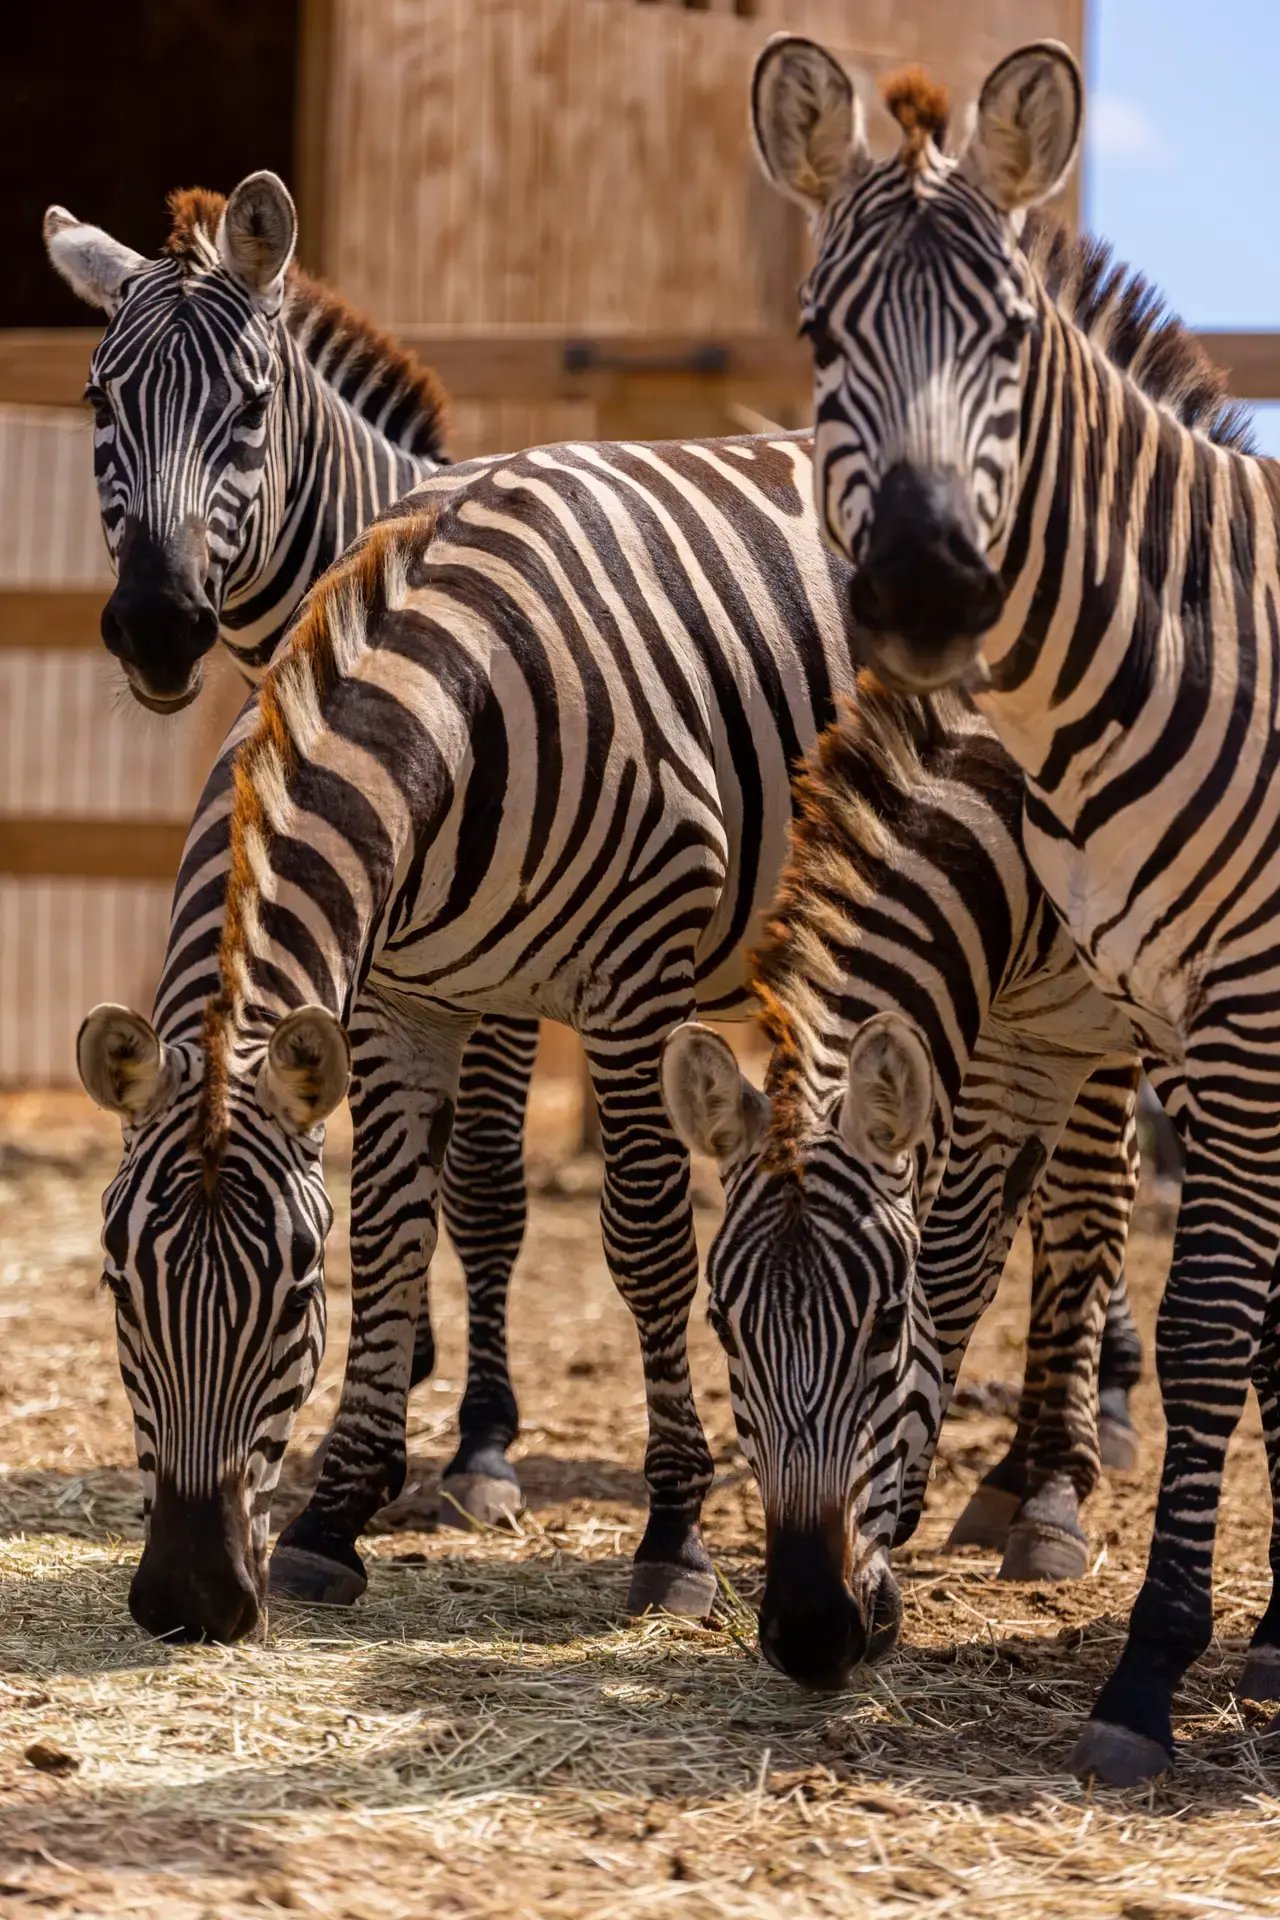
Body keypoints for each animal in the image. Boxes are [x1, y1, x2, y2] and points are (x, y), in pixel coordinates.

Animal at [45, 171, 537, 1526]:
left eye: (253, 407)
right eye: (98, 400)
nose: (157, 627)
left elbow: (480, 1182)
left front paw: (478, 1443)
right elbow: (376, 1168)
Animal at [662, 685, 1136, 1687]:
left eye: (884, 1325)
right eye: (721, 1327)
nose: (808, 1631)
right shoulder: (1016, 1031)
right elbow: (960, 1260)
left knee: (1096, 1197)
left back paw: (1050, 1491)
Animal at [752, 33, 1280, 1783]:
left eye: (1007, 335)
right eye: (819, 333)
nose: (923, 586)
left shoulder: (1218, 1017)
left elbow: (1209, 1319)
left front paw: (1154, 1668)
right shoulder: (1071, 1026)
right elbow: (986, 1248)